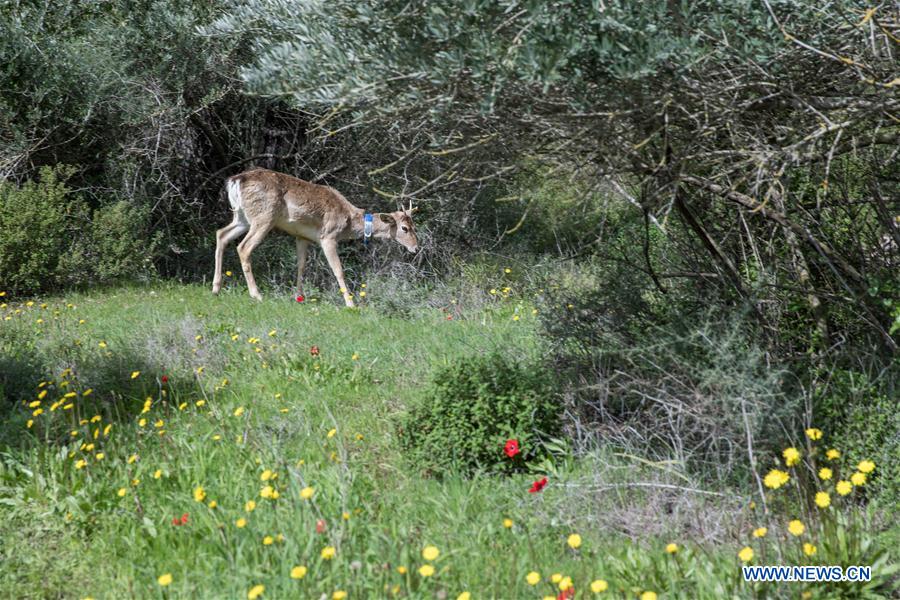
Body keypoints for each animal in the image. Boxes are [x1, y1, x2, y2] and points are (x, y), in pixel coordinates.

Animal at [212, 168, 418, 306]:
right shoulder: (328, 237)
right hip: (264, 216)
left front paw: (299, 297)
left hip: (243, 217)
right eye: (405, 228)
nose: (416, 248)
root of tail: (236, 180)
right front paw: (351, 304)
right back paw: (256, 294)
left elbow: (301, 266)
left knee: (221, 234)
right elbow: (338, 270)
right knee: (243, 247)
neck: (349, 222)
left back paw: (216, 288)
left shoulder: (302, 237)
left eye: (414, 226)